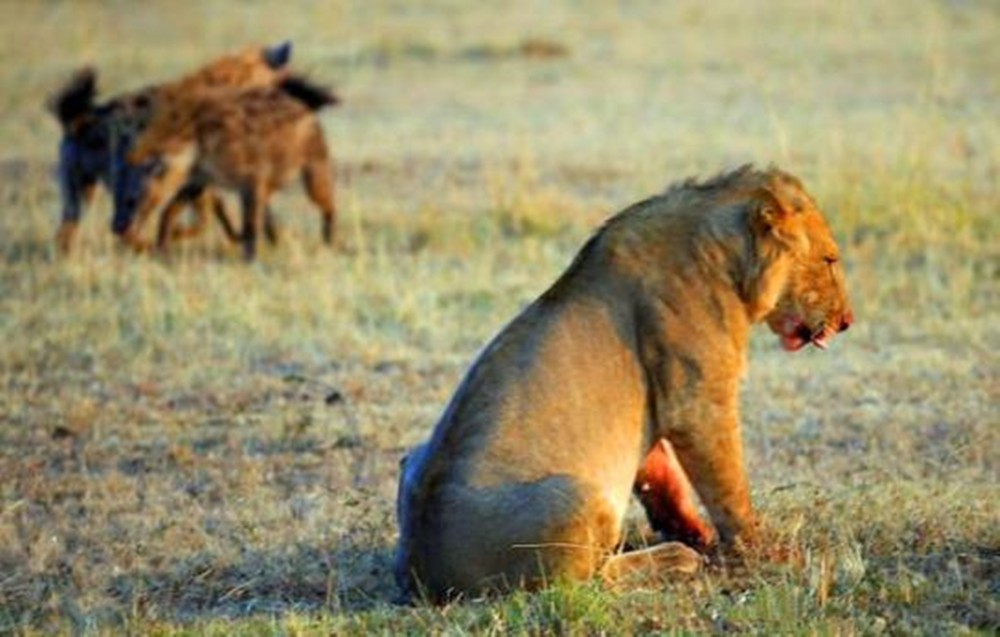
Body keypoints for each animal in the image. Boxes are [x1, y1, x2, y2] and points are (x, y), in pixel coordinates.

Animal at [390, 165, 852, 600]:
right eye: (830, 260)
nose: (847, 321)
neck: (726, 257)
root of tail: (421, 572)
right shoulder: (699, 402)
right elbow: (728, 487)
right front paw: (766, 551)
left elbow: (662, 474)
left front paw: (695, 530)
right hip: (574, 494)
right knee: (591, 579)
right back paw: (676, 558)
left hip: (414, 457)